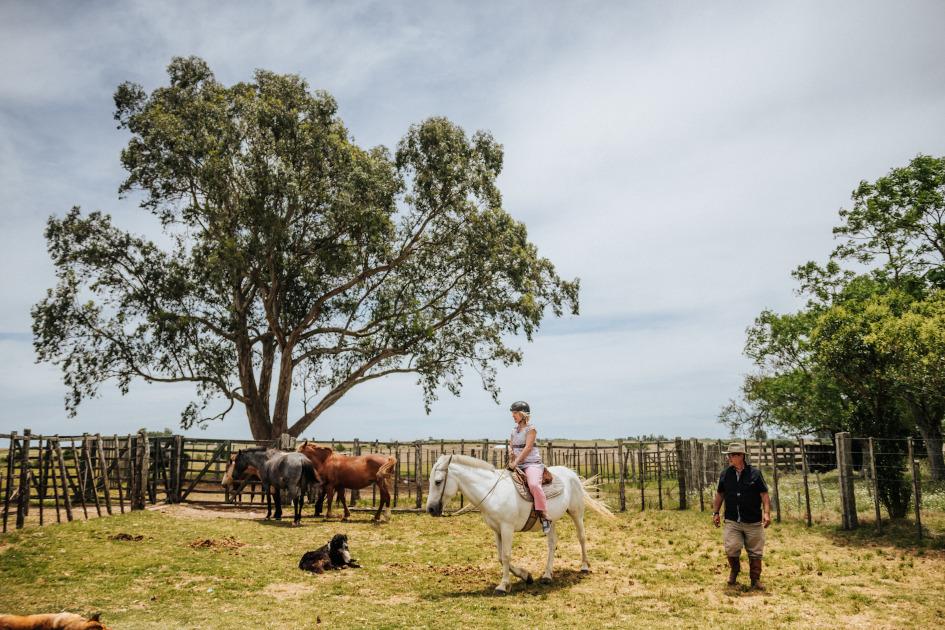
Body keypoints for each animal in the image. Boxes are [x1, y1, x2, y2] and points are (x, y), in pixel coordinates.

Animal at [426, 454, 616, 596]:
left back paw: (584, 566)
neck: (493, 491)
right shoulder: (497, 530)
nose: (431, 509)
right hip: (551, 521)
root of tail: (571, 473)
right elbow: (500, 557)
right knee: (552, 543)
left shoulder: (507, 528)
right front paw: (526, 576)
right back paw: (547, 575)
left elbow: (506, 555)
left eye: (438, 481)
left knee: (581, 537)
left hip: (576, 513)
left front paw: (503, 586)